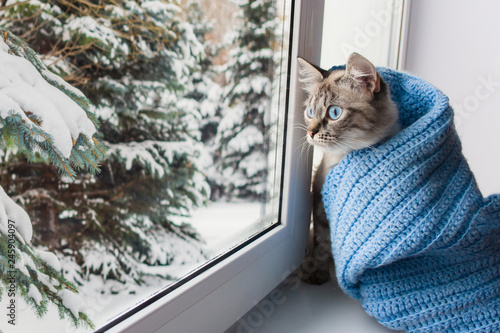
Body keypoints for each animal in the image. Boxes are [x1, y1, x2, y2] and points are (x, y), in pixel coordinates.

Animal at [296, 52, 398, 282]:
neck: (339, 159)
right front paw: (317, 273)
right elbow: (323, 242)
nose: (310, 133)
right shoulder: (320, 198)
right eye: (310, 112)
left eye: (334, 113)